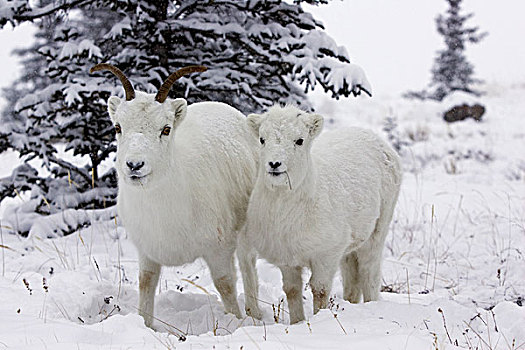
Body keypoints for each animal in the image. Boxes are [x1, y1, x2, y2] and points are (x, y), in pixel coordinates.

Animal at [91, 63, 260, 328]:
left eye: (166, 129)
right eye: (118, 127)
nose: (135, 165)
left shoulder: (219, 249)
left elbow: (225, 285)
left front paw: (235, 322)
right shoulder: (147, 252)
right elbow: (146, 283)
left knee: (247, 264)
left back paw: (255, 314)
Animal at [237, 104, 402, 322]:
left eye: (299, 140)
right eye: (262, 139)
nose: (274, 164)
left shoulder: (326, 254)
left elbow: (320, 290)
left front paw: (319, 317)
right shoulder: (287, 258)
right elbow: (292, 291)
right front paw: (297, 322)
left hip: (378, 229)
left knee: (369, 272)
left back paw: (371, 303)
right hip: (351, 243)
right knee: (352, 274)